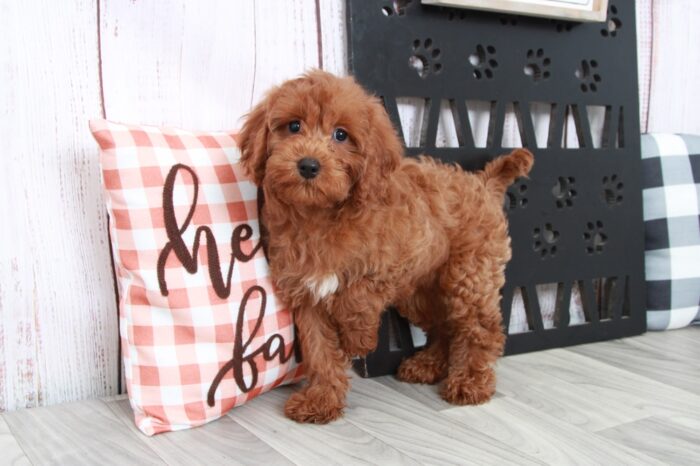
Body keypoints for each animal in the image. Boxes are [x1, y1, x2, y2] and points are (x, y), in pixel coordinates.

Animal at [238, 70, 532, 426]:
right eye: (293, 126)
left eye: (341, 135)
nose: (308, 165)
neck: (321, 216)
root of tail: (483, 183)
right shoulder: (306, 293)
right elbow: (320, 351)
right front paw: (321, 399)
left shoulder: (395, 258)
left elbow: (357, 296)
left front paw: (359, 339)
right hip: (419, 292)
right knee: (443, 325)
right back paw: (427, 365)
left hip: (468, 276)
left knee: (480, 328)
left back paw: (470, 382)